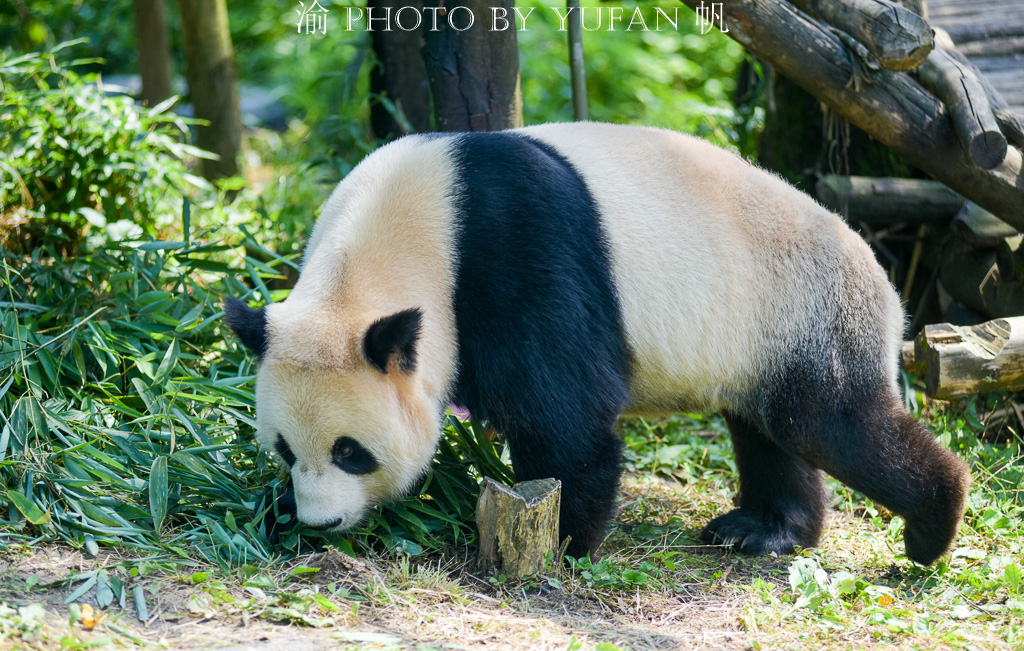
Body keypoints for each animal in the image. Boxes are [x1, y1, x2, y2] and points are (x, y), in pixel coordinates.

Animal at [228, 120, 970, 565]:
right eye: (285, 448)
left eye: (350, 451)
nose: (321, 523)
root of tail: (881, 275)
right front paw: (273, 510)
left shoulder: (517, 253)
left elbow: (567, 417)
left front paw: (563, 540)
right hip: (766, 334)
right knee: (766, 429)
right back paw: (764, 529)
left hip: (805, 307)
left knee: (832, 421)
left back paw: (931, 525)